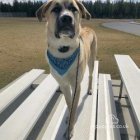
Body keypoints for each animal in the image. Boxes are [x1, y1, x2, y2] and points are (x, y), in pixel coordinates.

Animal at [36, 0, 97, 138]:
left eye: (74, 9)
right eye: (55, 9)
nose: (67, 18)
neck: (63, 49)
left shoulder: (76, 85)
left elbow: (74, 107)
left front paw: (70, 129)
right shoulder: (64, 84)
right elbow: (69, 104)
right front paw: (69, 118)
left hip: (91, 60)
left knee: (91, 75)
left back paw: (90, 89)